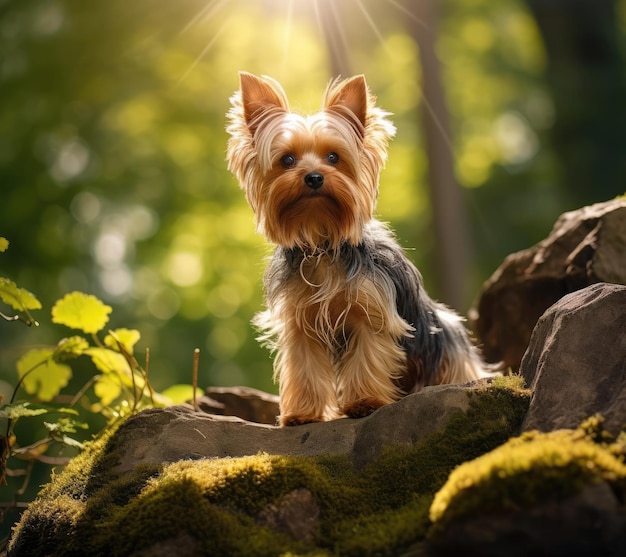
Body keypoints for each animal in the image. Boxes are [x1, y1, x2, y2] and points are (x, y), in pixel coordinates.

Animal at [224, 71, 488, 424]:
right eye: (287, 159)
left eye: (334, 157)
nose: (313, 177)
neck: (322, 241)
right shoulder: (300, 323)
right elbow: (304, 368)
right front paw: (302, 413)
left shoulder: (371, 313)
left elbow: (368, 356)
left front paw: (364, 402)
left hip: (443, 338)